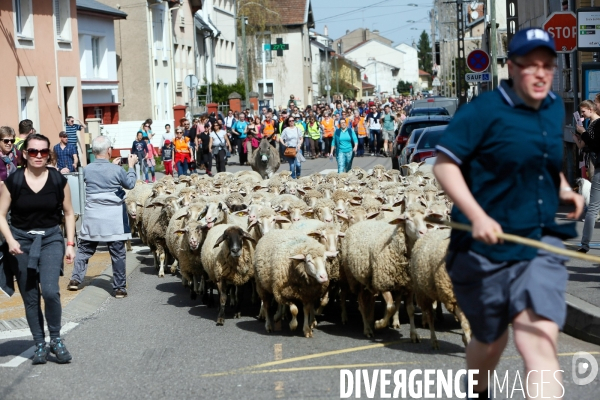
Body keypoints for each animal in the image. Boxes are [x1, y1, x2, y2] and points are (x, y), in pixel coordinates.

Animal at [342, 205, 432, 340]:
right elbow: (390, 307)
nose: (424, 232)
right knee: (361, 304)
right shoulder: (383, 282)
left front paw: (414, 334)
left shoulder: (409, 285)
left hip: (367, 281)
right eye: (407, 219)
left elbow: (410, 309)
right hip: (355, 280)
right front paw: (380, 324)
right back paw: (367, 329)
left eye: (426, 218)